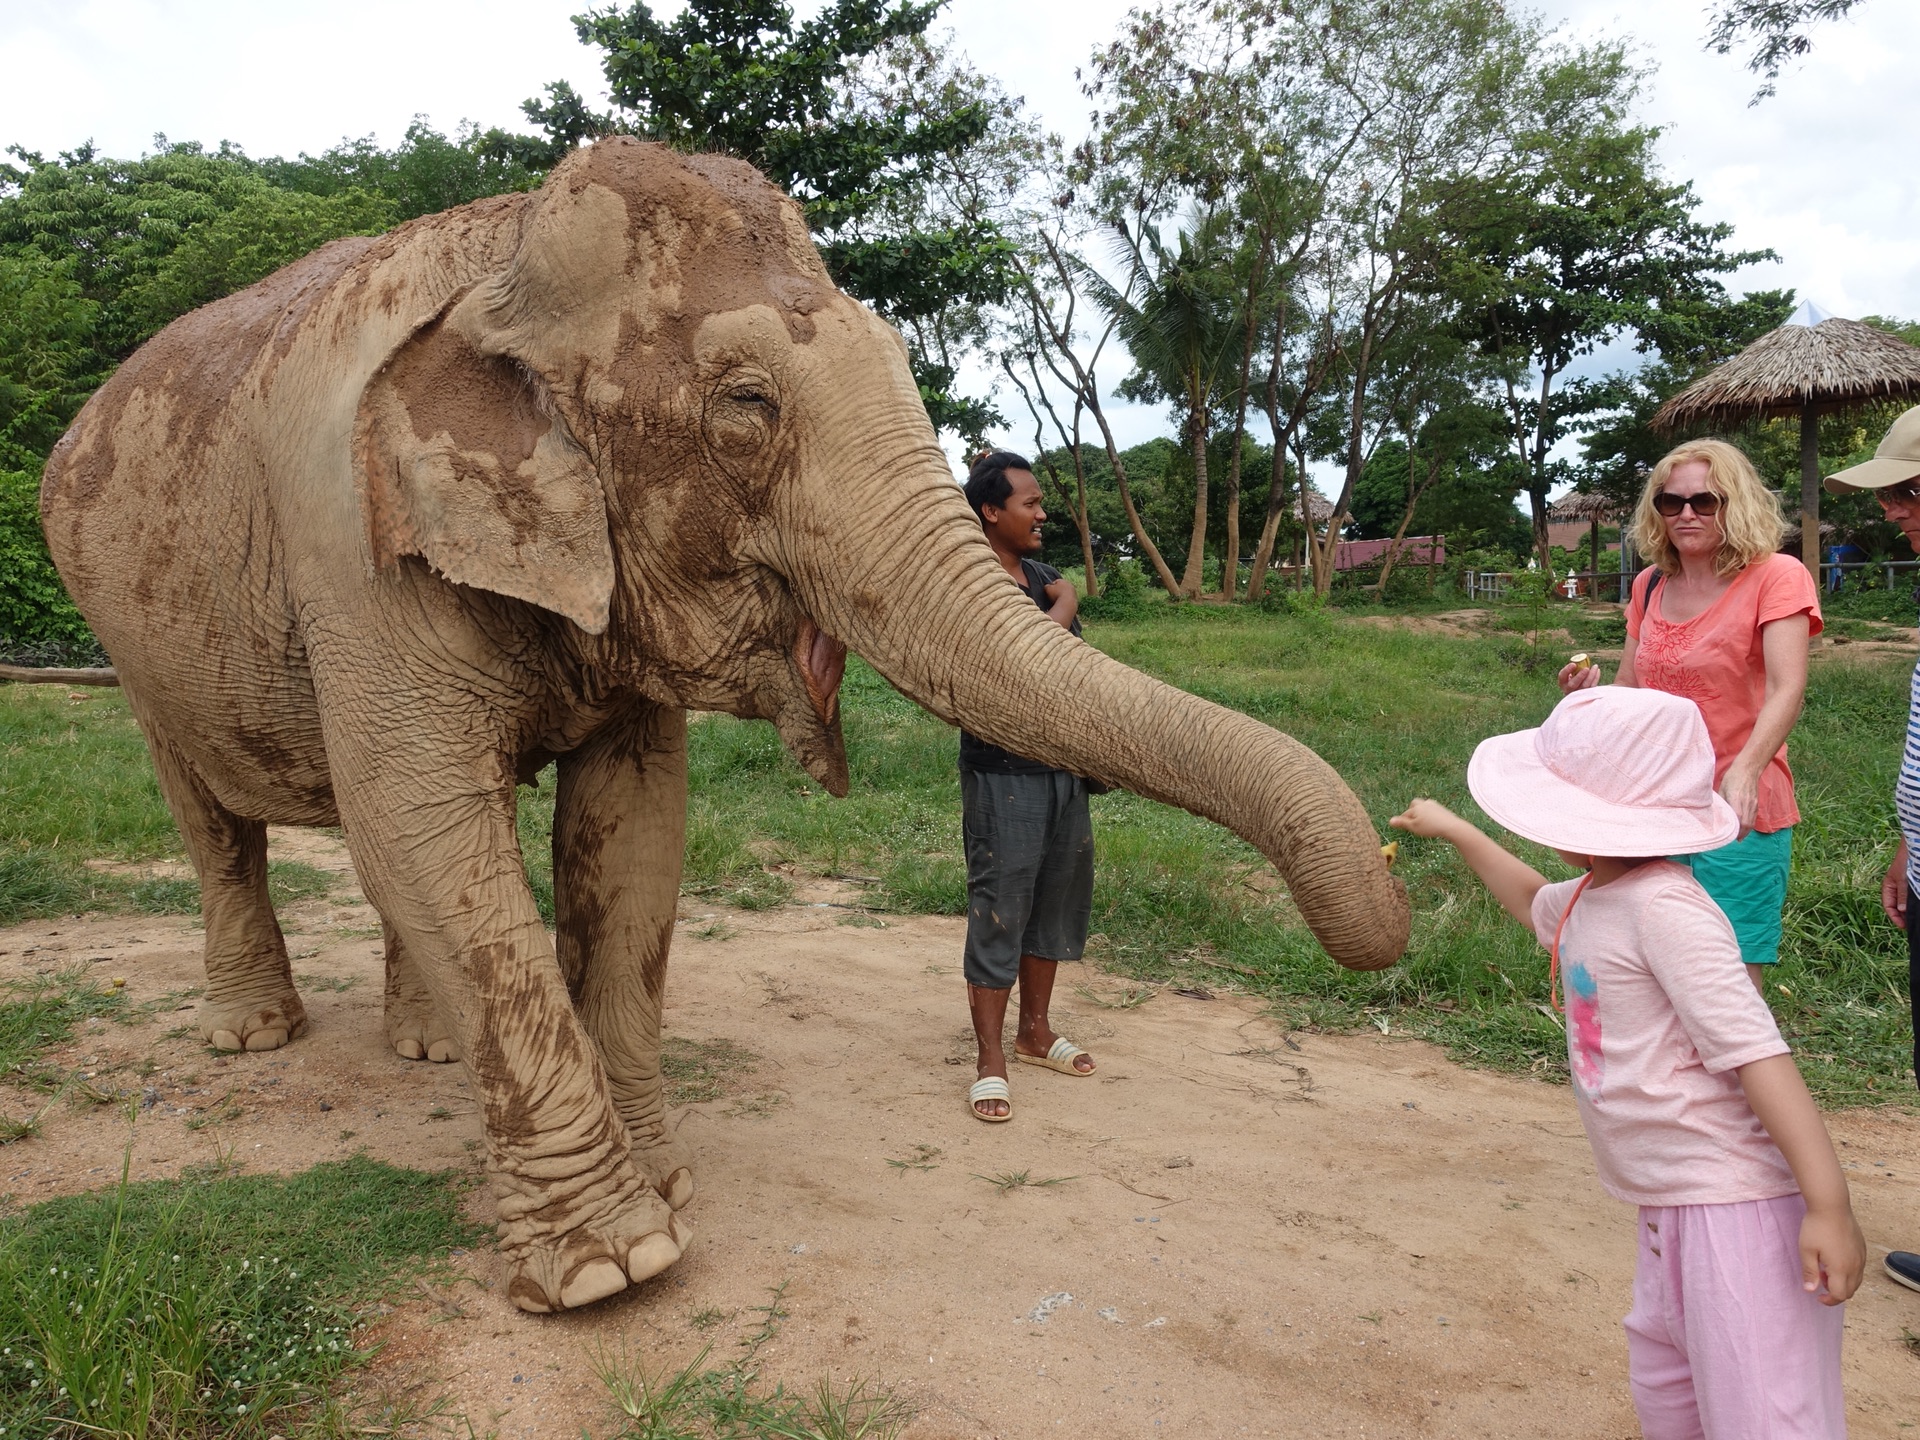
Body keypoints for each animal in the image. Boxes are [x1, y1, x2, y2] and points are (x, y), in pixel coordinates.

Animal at [33, 138, 1413, 1320]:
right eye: (746, 406)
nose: (1399, 892)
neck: (502, 259)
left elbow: (630, 836)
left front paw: (666, 1183)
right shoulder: (355, 550)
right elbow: (429, 823)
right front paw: (613, 1266)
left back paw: (420, 1049)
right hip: (129, 630)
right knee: (219, 821)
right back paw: (254, 1033)